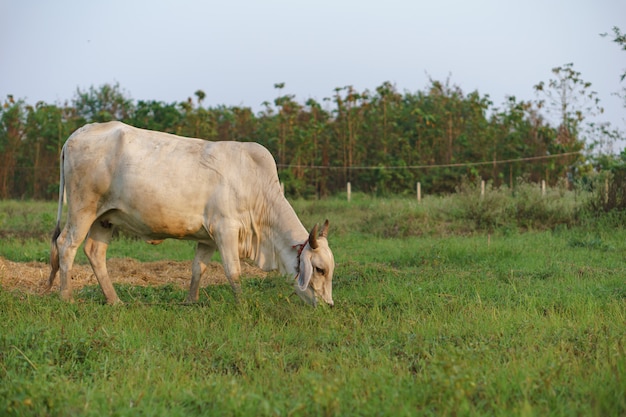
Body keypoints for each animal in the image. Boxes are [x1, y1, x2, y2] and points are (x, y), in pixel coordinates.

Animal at [46, 120, 334, 306]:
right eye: (319, 270)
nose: (328, 305)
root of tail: (77, 134)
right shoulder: (225, 229)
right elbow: (234, 272)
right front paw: (242, 305)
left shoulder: (208, 238)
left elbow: (198, 269)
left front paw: (190, 301)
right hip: (83, 209)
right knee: (66, 245)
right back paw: (66, 297)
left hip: (104, 218)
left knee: (95, 252)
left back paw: (115, 301)